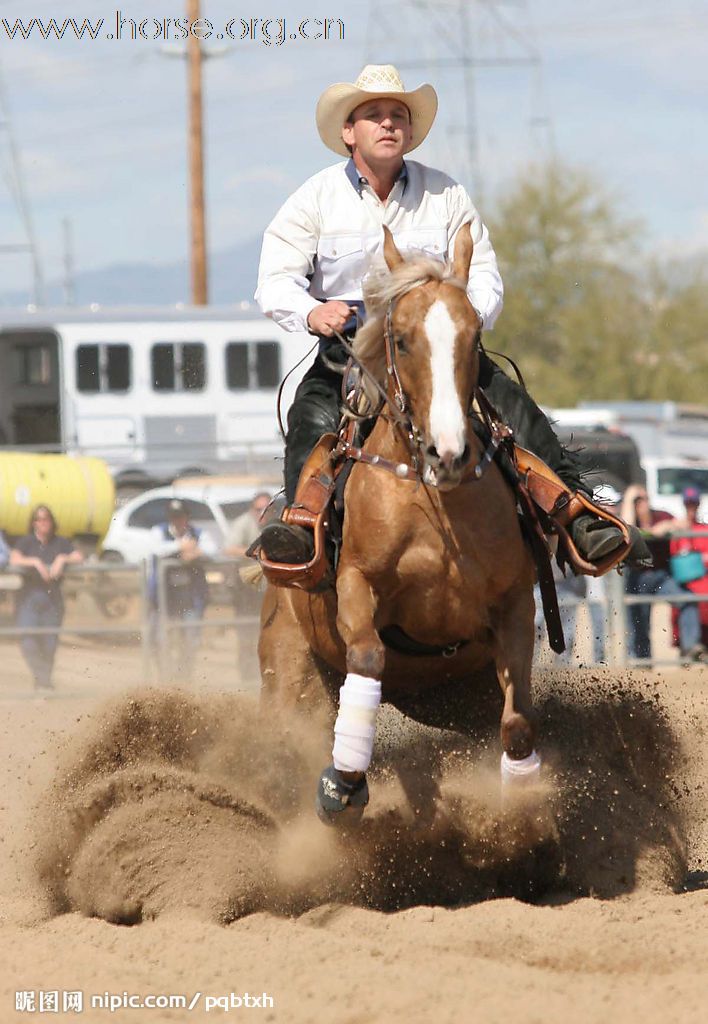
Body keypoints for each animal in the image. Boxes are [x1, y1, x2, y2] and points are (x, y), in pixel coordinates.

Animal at [257, 226, 540, 823]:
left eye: (474, 336)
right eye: (404, 340)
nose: (448, 453)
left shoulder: (515, 603)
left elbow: (519, 724)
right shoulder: (356, 583)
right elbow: (367, 655)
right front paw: (343, 783)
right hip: (290, 676)